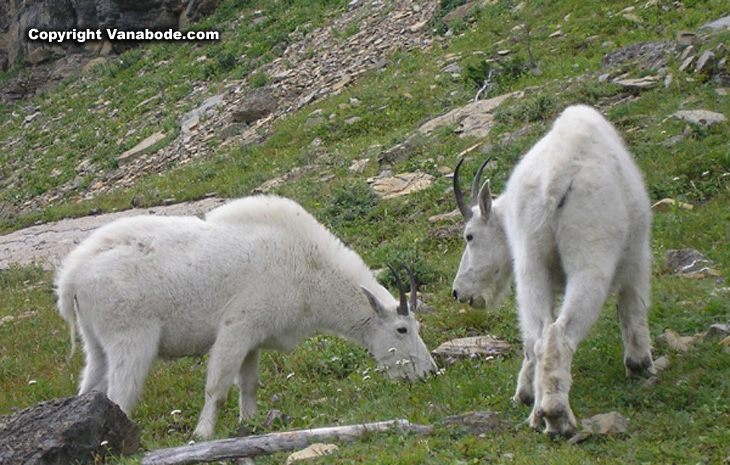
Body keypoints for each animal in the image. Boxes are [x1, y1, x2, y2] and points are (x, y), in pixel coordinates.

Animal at [55, 193, 438, 438]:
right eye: (402, 329)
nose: (429, 373)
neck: (309, 270)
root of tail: (71, 278)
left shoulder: (254, 339)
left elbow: (249, 385)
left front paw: (251, 425)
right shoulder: (236, 328)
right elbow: (218, 387)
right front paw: (202, 434)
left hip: (96, 343)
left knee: (89, 388)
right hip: (131, 339)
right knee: (120, 395)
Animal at [450, 104, 656, 436]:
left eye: (469, 236)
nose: (458, 291)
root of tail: (553, 181)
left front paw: (523, 394)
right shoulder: (637, 255)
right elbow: (632, 307)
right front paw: (640, 365)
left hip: (531, 262)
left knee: (538, 336)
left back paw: (538, 414)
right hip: (590, 256)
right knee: (560, 333)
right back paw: (558, 417)